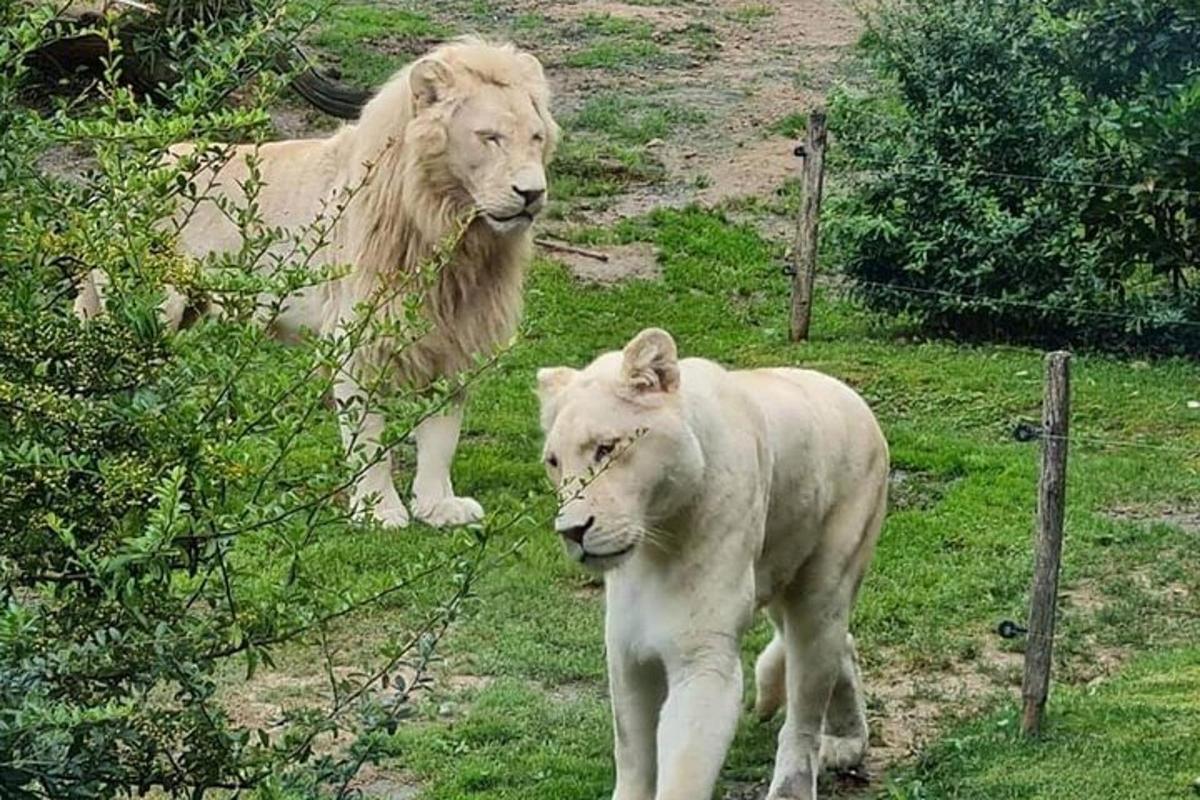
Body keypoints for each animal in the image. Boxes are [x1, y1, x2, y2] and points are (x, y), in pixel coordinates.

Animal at [73, 37, 556, 527]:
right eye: (489, 137)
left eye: (536, 138)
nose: (532, 194)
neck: (453, 233)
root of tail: (119, 181)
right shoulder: (358, 339)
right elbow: (367, 438)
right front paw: (379, 511)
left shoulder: (457, 335)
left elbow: (441, 433)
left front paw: (438, 505)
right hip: (148, 305)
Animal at [540, 326, 888, 800]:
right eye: (553, 462)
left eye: (606, 448)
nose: (571, 531)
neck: (656, 543)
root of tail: (853, 396)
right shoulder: (627, 648)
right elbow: (632, 753)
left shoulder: (702, 656)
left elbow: (683, 766)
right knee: (842, 646)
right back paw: (847, 740)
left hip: (823, 586)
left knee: (805, 708)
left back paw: (794, 784)